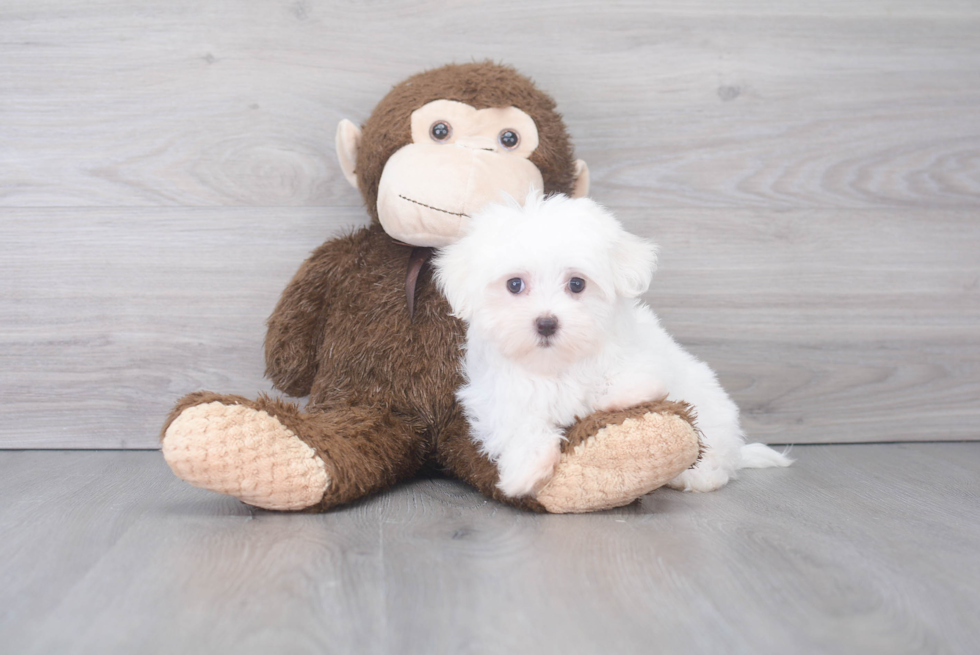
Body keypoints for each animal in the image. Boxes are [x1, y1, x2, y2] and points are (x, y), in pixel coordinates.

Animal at [432, 193, 792, 498]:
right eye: (515, 284)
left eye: (577, 284)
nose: (546, 323)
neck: (556, 364)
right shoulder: (494, 393)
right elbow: (515, 421)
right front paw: (526, 469)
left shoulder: (644, 355)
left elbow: (632, 378)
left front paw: (611, 398)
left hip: (712, 415)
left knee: (716, 458)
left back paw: (696, 475)